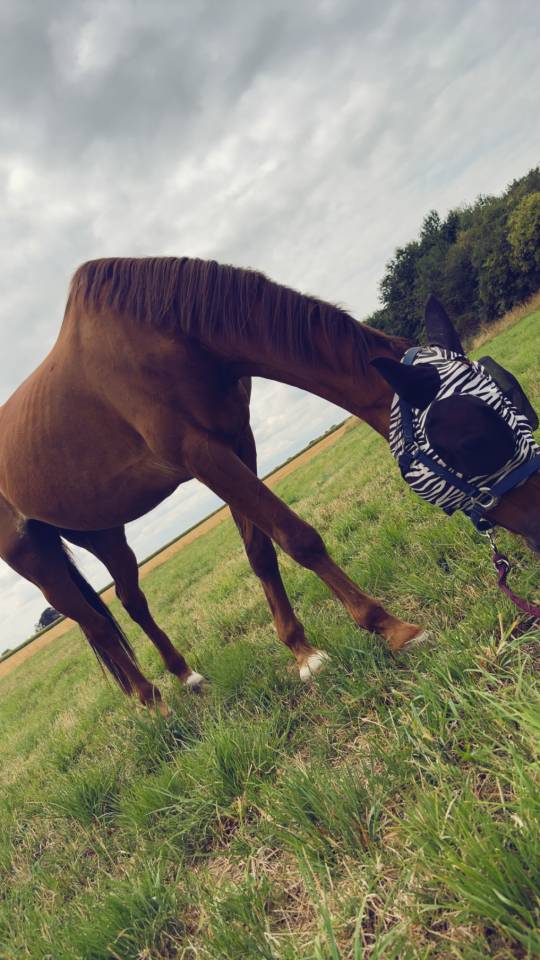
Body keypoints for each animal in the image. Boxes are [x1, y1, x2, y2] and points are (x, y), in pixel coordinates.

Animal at [0, 257, 538, 714]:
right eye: (469, 440)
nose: (538, 529)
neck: (166, 339)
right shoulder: (201, 454)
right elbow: (298, 537)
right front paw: (391, 628)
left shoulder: (238, 441)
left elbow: (261, 550)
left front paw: (303, 653)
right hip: (33, 557)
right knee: (92, 622)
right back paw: (151, 701)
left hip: (105, 532)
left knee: (130, 603)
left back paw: (186, 677)